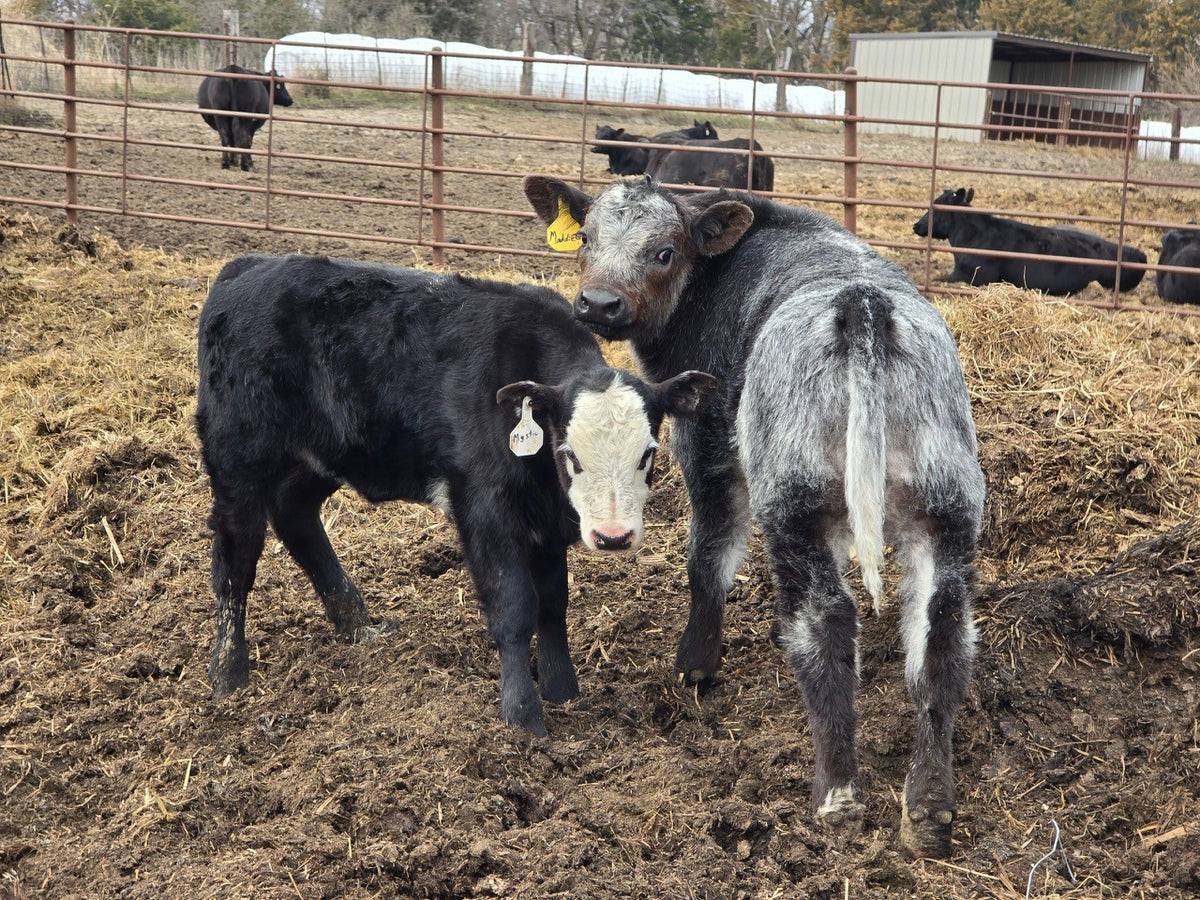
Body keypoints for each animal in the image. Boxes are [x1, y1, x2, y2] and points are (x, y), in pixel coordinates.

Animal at [196, 254, 715, 737]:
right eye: (568, 453)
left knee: (295, 513)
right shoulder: (484, 510)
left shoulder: (546, 523)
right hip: (236, 459)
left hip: (325, 454)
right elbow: (514, 608)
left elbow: (553, 604)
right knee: (234, 562)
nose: (613, 537)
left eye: (648, 453)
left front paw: (562, 689)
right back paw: (228, 674)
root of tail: (250, 267)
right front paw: (523, 717)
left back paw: (358, 625)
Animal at [524, 174, 985, 858]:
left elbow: (708, 560)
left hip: (793, 504)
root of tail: (863, 304)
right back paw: (928, 809)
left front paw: (693, 666)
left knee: (827, 621)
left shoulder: (708, 445)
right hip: (945, 506)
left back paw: (836, 794)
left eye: (665, 252)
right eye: (584, 237)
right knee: (941, 635)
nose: (598, 303)